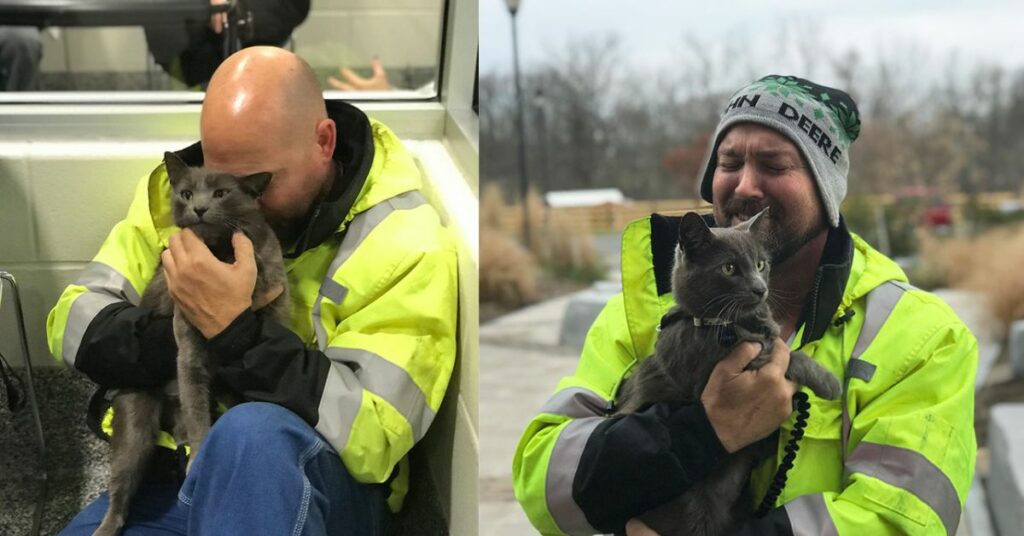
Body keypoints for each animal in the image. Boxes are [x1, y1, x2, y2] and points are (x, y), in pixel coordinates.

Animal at [93, 151, 290, 536]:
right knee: (122, 486)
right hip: (135, 418)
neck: (220, 252)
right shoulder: (188, 348)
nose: (198, 207)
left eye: (221, 193)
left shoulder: (276, 299)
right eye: (185, 193)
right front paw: (200, 455)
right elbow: (199, 411)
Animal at [614, 210, 839, 536]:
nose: (760, 288)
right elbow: (789, 356)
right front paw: (830, 382)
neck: (726, 324)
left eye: (761, 264)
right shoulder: (717, 368)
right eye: (729, 268)